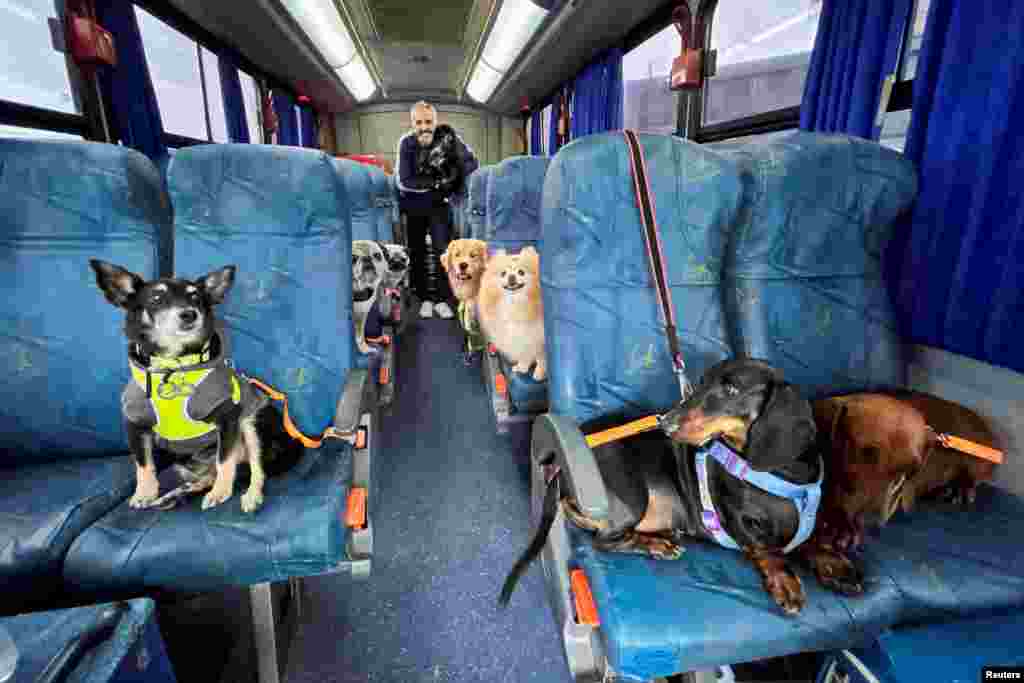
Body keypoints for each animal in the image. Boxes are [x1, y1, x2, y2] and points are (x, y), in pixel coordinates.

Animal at [91, 260, 301, 511]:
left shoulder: (228, 417)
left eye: (196, 298)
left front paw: (222, 491)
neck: (173, 367)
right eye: (156, 298)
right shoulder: (135, 423)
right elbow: (143, 464)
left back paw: (250, 495)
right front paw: (144, 493)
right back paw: (173, 496)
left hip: (252, 421)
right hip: (186, 463)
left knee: (255, 469)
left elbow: (225, 460)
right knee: (211, 476)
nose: (189, 314)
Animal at [477, 248, 544, 382]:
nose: (511, 276)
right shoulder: (522, 338)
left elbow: (542, 359)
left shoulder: (539, 339)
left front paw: (540, 373)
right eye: (503, 273)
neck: (514, 304)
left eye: (521, 272)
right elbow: (524, 355)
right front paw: (522, 367)